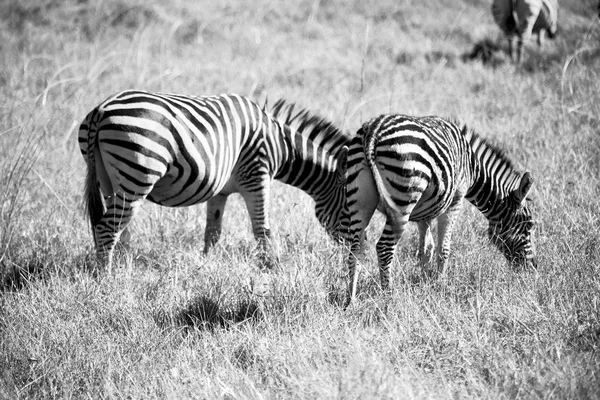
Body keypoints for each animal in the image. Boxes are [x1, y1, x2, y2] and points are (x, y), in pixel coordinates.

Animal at [79, 90, 352, 270]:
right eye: (350, 206)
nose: (353, 252)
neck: (281, 145)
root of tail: (100, 111)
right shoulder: (257, 176)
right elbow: (262, 230)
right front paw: (270, 268)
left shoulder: (220, 190)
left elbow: (213, 231)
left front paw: (206, 265)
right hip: (137, 175)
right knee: (107, 228)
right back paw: (107, 278)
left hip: (108, 181)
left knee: (118, 230)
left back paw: (122, 267)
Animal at [344, 114, 536, 304]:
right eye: (529, 225)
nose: (533, 268)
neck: (472, 166)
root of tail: (374, 130)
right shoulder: (455, 200)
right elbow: (443, 249)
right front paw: (440, 285)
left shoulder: (426, 213)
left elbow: (426, 249)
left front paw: (423, 281)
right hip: (403, 195)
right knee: (384, 248)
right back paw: (388, 297)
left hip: (360, 201)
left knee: (355, 249)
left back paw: (350, 301)